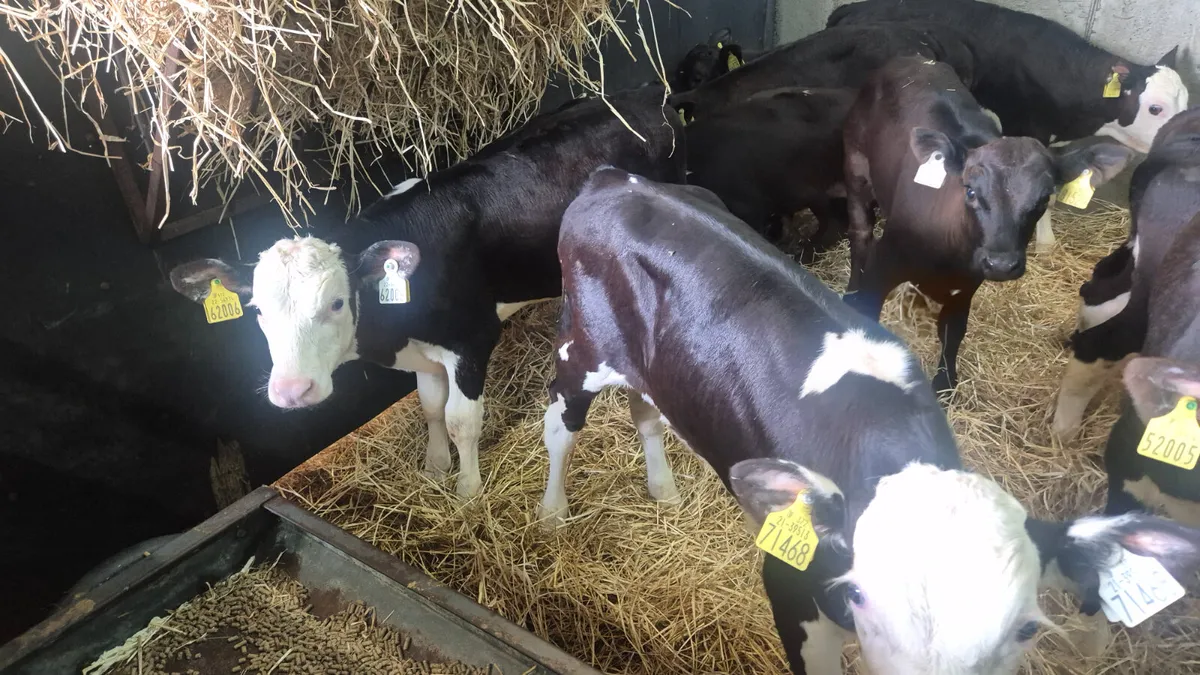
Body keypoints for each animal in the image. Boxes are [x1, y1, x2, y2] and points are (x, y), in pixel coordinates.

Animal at [167, 90, 686, 499]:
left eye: (336, 302)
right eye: (256, 310)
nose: (292, 391)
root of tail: (646, 97)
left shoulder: (472, 340)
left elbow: (461, 419)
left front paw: (468, 490)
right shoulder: (425, 349)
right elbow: (430, 406)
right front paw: (436, 467)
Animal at [536, 166, 1200, 675]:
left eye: (1026, 630)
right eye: (857, 595)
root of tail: (613, 180)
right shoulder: (792, 590)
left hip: (652, 368)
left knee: (646, 408)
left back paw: (663, 489)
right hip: (581, 351)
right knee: (558, 423)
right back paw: (552, 514)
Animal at [841, 57, 1134, 394]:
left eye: (1043, 197)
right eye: (970, 191)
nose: (1002, 264)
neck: (947, 257)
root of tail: (911, 59)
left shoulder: (967, 286)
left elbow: (953, 331)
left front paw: (945, 382)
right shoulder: (883, 264)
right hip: (856, 168)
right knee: (860, 233)